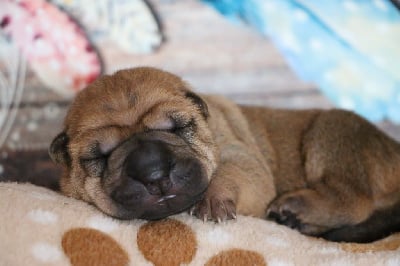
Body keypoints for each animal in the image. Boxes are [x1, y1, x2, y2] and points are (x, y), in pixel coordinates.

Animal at [49, 66, 400, 241]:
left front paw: (213, 198)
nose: (154, 174)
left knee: (352, 199)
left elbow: (232, 172)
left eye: (178, 127)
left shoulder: (242, 157)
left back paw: (294, 208)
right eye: (100, 157)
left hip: (333, 131)